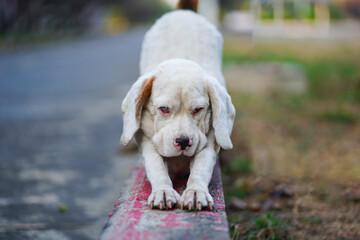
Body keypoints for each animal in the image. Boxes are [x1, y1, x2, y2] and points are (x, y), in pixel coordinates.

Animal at [119, 0, 235, 210]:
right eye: (164, 109)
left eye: (198, 110)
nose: (182, 141)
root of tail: (184, 12)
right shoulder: (146, 139)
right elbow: (156, 166)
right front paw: (163, 191)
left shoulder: (210, 140)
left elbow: (202, 166)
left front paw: (196, 191)